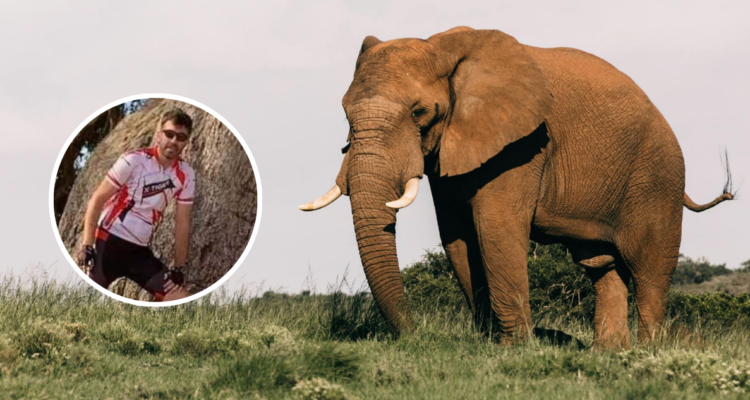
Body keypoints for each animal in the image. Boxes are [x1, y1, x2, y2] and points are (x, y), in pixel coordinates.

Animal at [300, 26, 733, 349]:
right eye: (345, 113)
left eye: (420, 112)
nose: (414, 336)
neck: (443, 47)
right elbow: (457, 235)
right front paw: (489, 343)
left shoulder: (524, 144)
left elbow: (496, 227)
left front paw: (515, 349)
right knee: (602, 266)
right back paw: (608, 355)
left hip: (657, 177)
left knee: (649, 269)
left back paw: (648, 354)